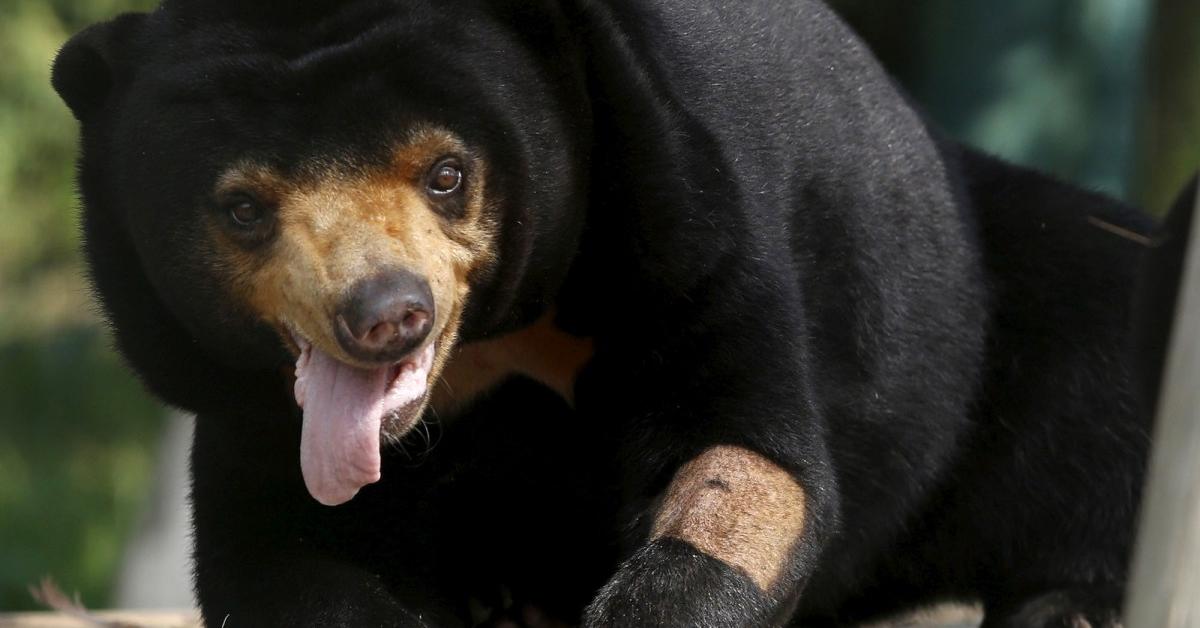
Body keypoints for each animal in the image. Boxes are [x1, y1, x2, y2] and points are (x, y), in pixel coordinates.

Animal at [51, 1, 1156, 628]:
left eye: (446, 173)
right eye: (243, 208)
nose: (387, 316)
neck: (488, 352)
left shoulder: (685, 224)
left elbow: (748, 464)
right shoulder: (247, 403)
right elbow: (278, 553)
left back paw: (1067, 605)